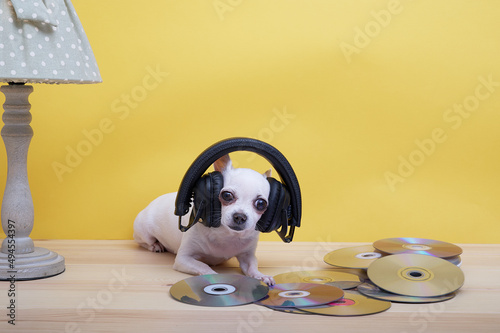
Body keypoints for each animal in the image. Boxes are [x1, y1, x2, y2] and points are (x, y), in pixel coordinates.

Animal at [133, 154, 276, 284]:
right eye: (227, 195)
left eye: (261, 204)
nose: (240, 216)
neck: (227, 235)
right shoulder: (184, 259)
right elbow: (203, 266)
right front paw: (213, 276)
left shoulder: (247, 256)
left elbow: (252, 266)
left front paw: (261, 276)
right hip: (144, 232)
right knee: (144, 242)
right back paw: (156, 246)